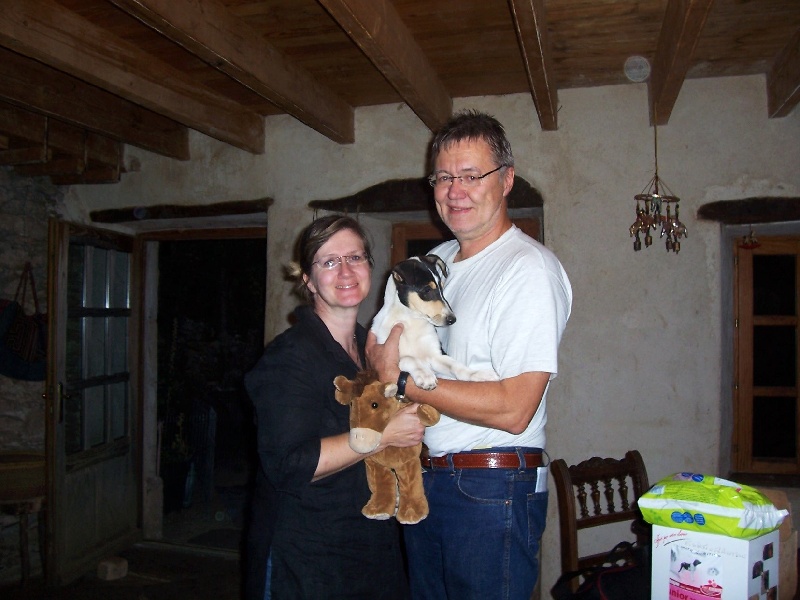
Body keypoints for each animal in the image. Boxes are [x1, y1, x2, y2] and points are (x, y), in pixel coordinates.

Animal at [371, 254, 498, 390]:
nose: (452, 319)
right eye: (427, 290)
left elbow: (456, 365)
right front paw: (425, 375)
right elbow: (409, 358)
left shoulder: (436, 355)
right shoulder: (390, 353)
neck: (411, 320)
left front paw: (478, 373)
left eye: (442, 287)